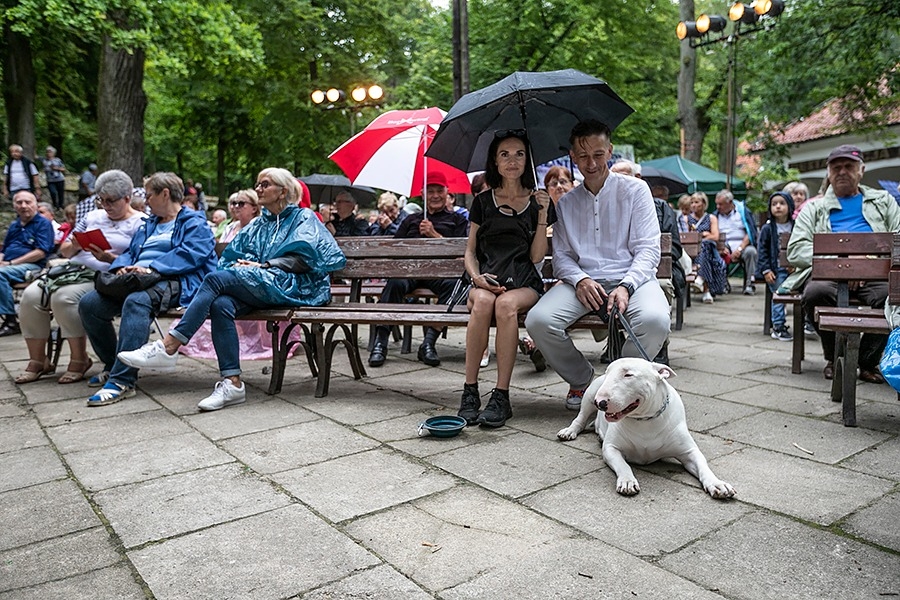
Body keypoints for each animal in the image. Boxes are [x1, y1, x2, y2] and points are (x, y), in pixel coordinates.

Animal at [556, 358, 740, 500]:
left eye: (628, 374)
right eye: (608, 373)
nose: (600, 402)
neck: (644, 420)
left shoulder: (689, 451)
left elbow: (703, 465)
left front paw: (717, 484)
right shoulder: (611, 448)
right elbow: (623, 465)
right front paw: (627, 481)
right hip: (589, 396)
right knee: (580, 418)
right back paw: (569, 431)